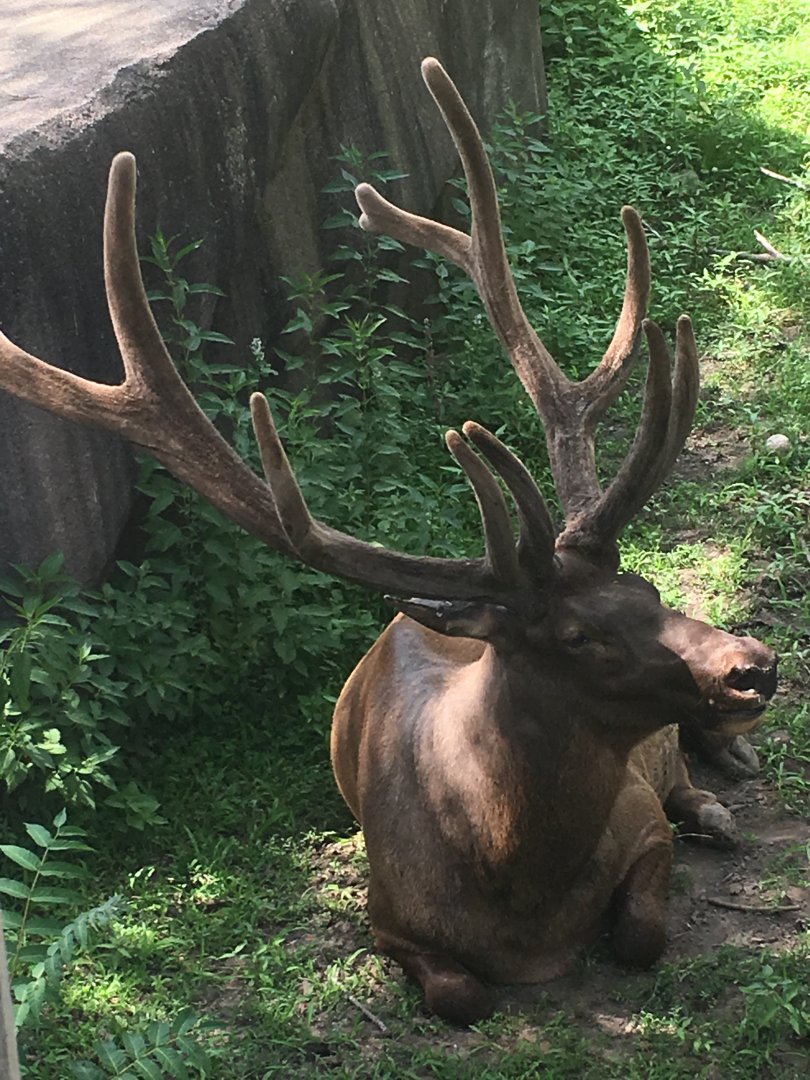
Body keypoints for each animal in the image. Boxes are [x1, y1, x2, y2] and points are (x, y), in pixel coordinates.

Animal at [0, 58, 777, 1026]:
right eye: (575, 635)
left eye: (650, 590)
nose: (752, 666)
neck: (518, 891)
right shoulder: (386, 915)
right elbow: (461, 995)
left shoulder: (638, 821)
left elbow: (641, 934)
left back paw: (724, 781)